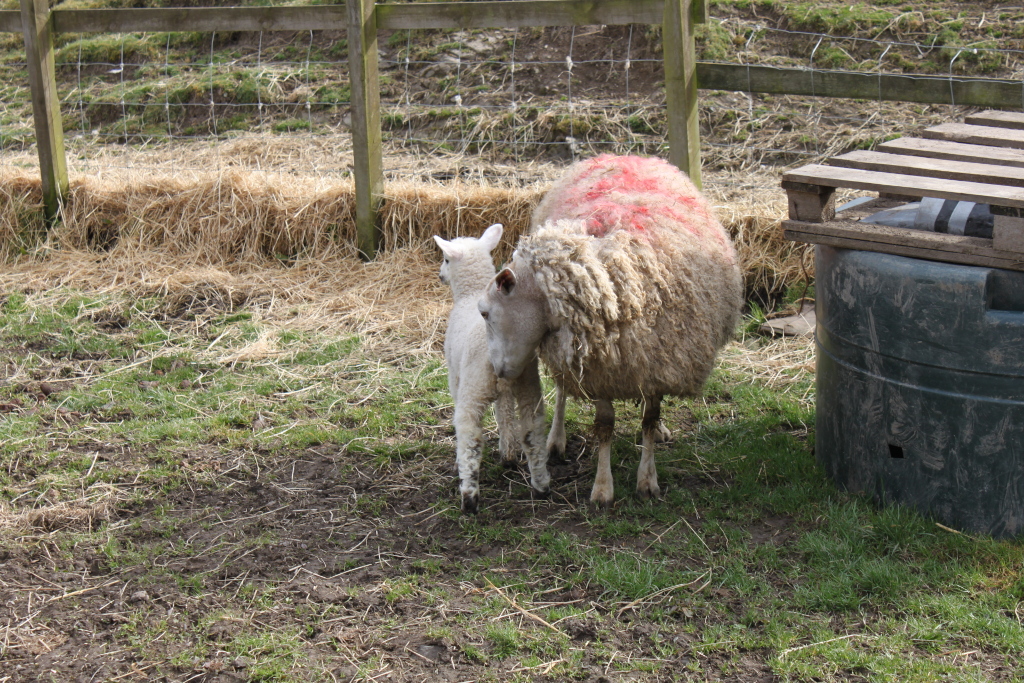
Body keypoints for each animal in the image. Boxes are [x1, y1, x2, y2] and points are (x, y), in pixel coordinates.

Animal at [433, 223, 549, 513]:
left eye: (446, 259)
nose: (440, 276)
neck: (470, 293)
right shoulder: (507, 390)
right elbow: (505, 415)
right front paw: (507, 455)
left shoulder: (456, 376)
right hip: (528, 384)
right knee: (532, 431)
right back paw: (541, 484)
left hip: (473, 389)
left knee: (471, 437)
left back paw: (469, 496)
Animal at [478, 155, 743, 507]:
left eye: (485, 312)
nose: (498, 371)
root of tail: (626, 156)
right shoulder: (598, 366)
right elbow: (604, 425)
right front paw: (603, 488)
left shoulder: (655, 361)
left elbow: (649, 418)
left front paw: (647, 480)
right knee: (562, 391)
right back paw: (556, 439)